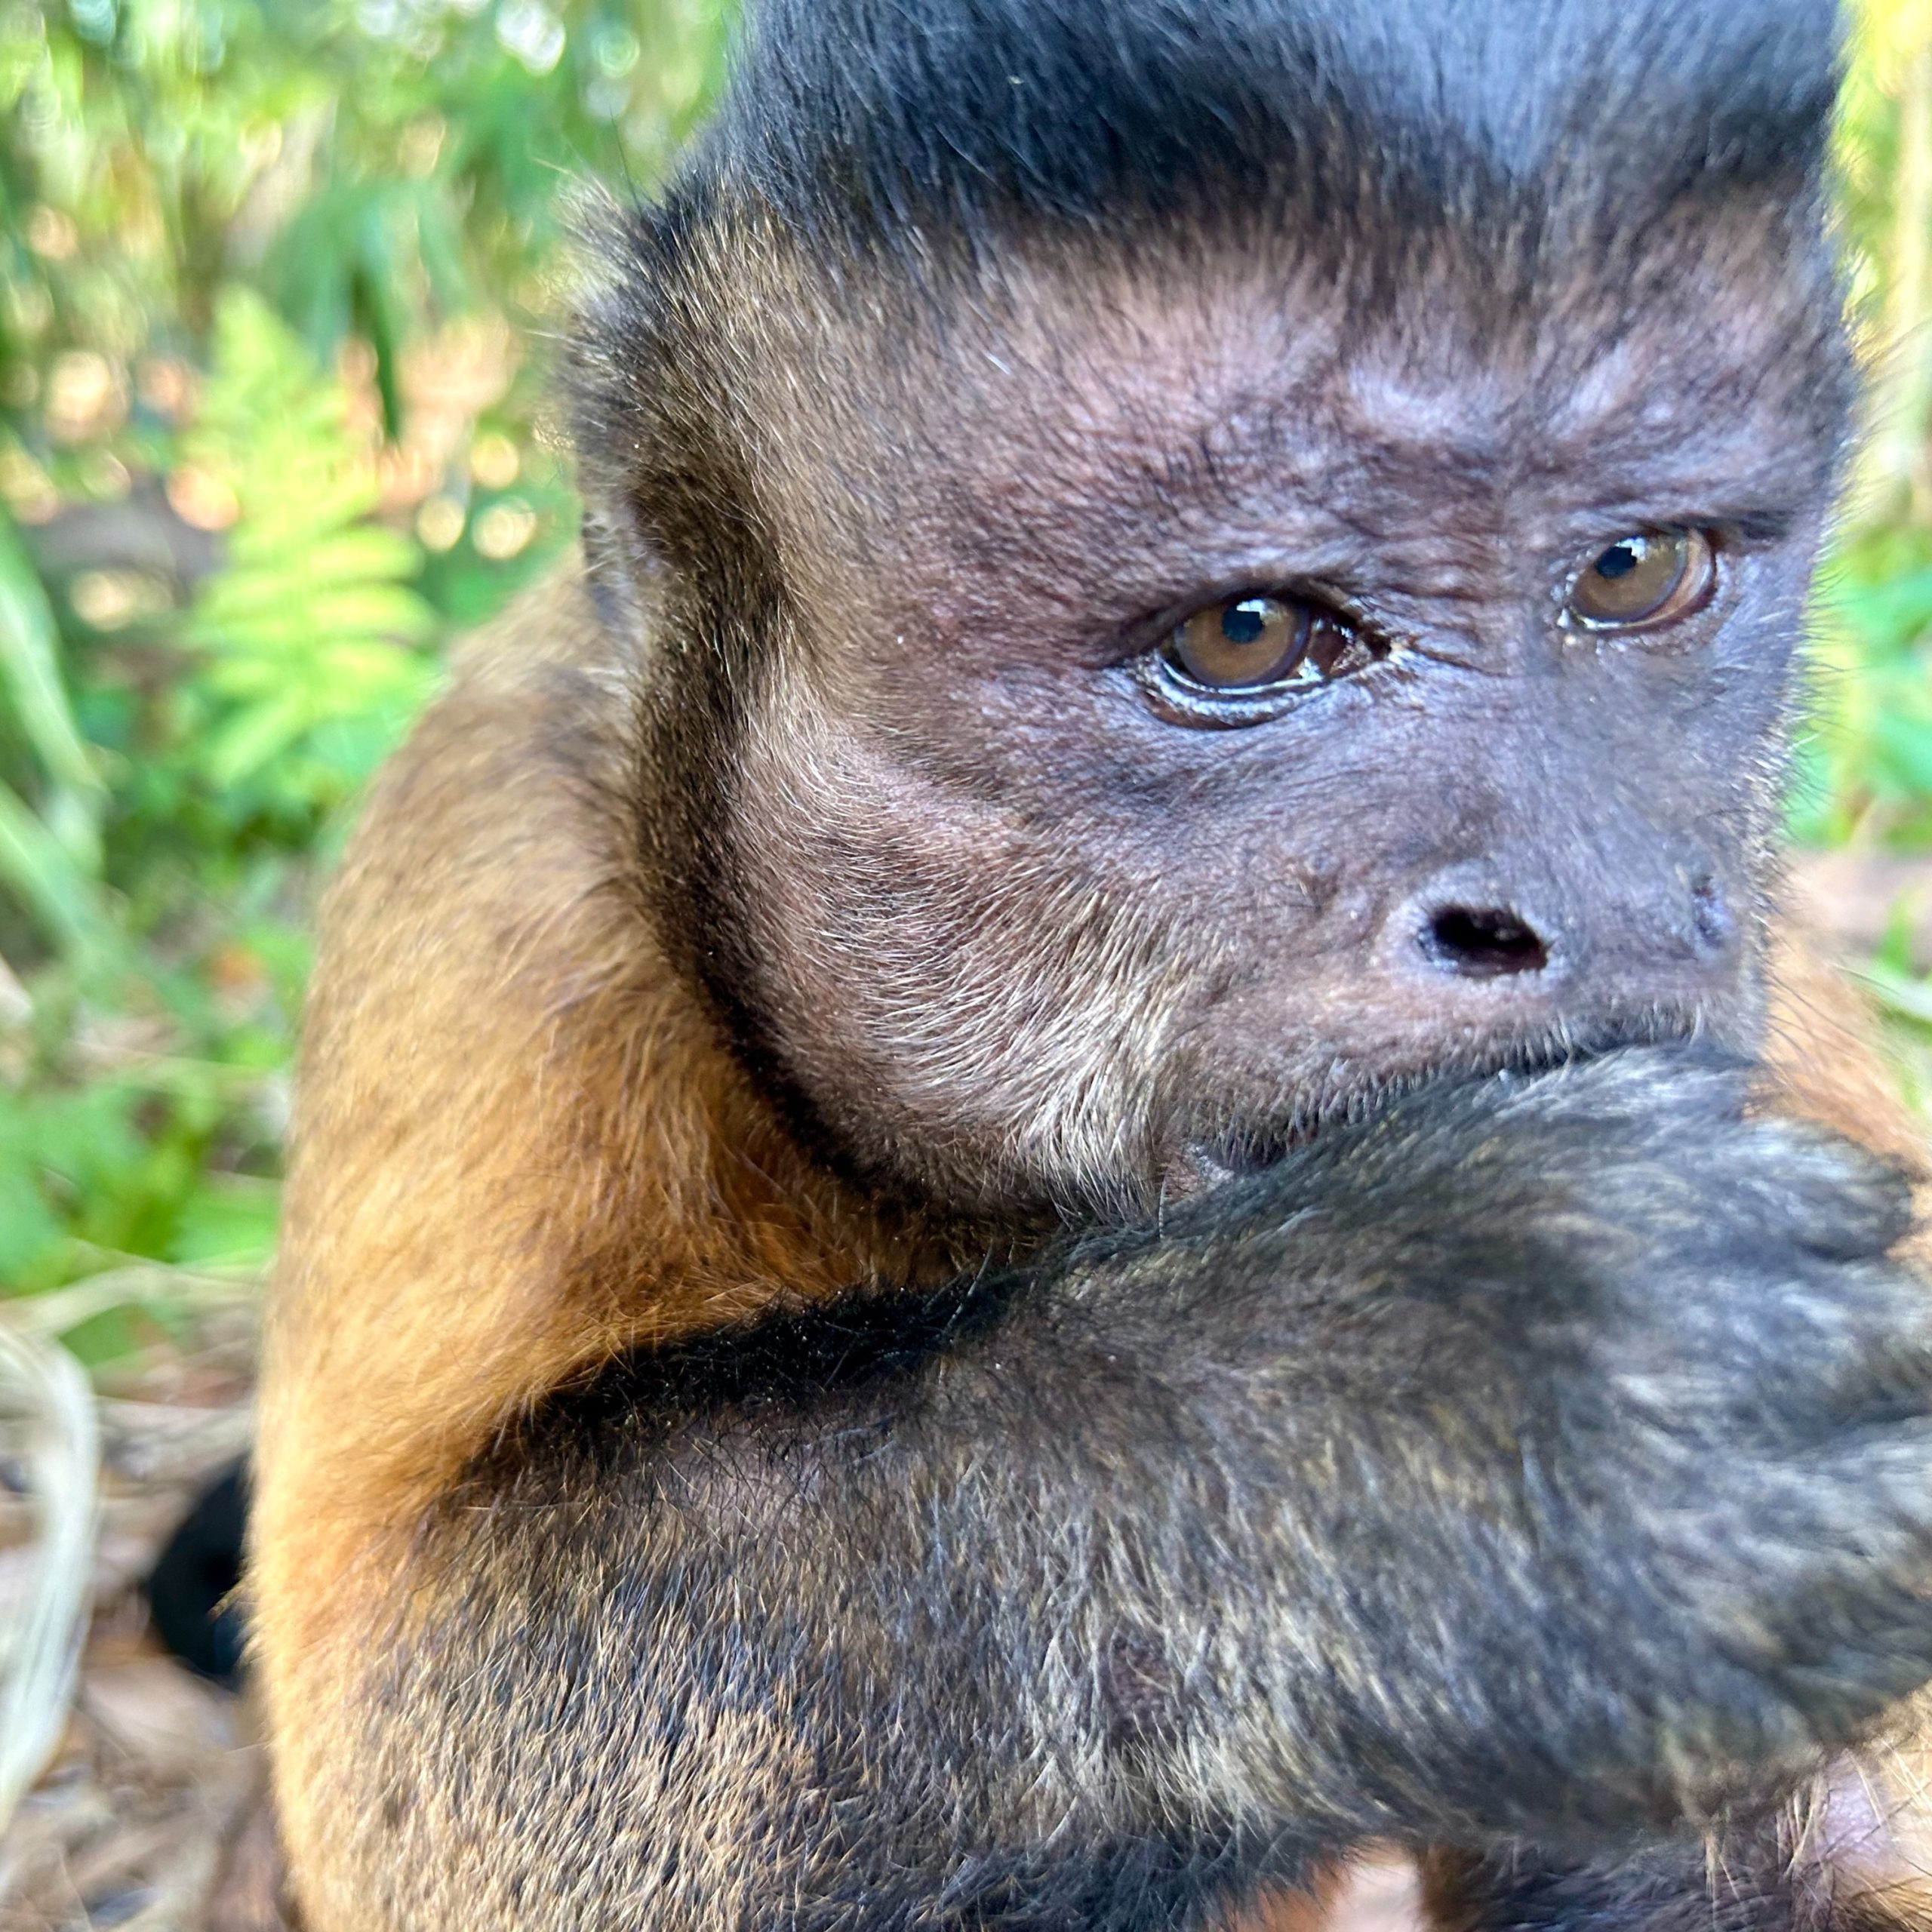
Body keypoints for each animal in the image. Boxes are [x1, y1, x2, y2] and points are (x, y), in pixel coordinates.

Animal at [244, 0, 1932, 1927]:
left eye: (1636, 568)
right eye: (1245, 632)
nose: (1588, 894)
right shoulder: (492, 867)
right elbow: (400, 1721)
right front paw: (1420, 1422)